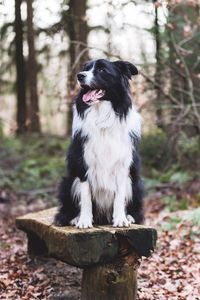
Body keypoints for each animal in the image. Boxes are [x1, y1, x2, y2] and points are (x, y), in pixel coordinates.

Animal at [54, 58, 144, 229]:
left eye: (102, 70)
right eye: (86, 68)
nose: (80, 76)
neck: (102, 116)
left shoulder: (122, 166)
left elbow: (119, 196)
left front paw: (120, 219)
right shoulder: (82, 164)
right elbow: (86, 196)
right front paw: (84, 220)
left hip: (135, 183)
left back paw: (129, 216)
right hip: (68, 182)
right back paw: (74, 218)